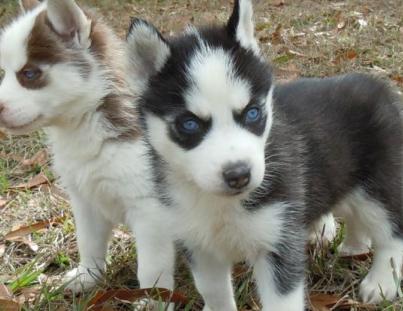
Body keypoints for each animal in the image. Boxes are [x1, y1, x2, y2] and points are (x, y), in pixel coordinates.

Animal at [129, 0, 403, 310]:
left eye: (252, 113)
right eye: (189, 124)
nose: (239, 175)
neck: (222, 204)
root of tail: (380, 86)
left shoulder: (279, 241)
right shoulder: (199, 244)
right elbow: (213, 290)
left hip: (378, 186)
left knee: (392, 231)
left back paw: (381, 282)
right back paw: (354, 246)